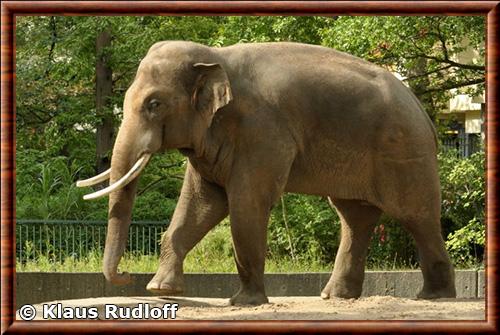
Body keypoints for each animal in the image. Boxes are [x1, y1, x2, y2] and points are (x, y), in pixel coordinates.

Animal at [77, 40, 458, 306]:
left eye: (154, 104)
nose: (126, 275)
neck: (216, 58)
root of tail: (423, 112)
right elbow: (201, 204)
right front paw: (161, 289)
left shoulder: (262, 130)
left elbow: (246, 204)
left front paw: (243, 303)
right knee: (355, 216)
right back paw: (335, 296)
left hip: (405, 153)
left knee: (416, 215)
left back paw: (434, 297)